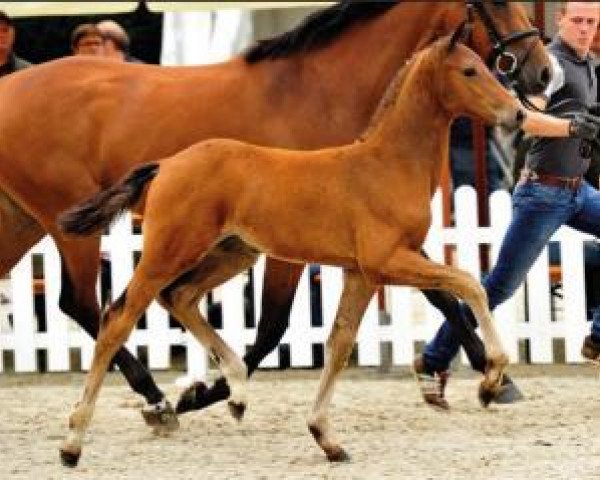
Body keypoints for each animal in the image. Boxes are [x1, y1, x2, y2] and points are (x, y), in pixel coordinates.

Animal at [0, 0, 548, 424]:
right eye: (497, 1)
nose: (544, 71)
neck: (321, 89)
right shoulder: (297, 247)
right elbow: (271, 327)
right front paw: (209, 392)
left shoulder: (373, 242)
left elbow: (444, 293)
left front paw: (488, 378)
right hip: (74, 229)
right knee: (87, 303)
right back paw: (155, 400)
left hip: (23, 222)